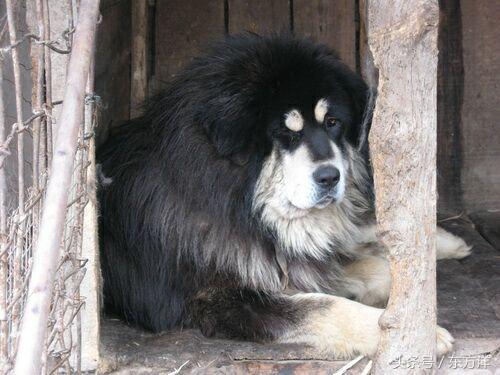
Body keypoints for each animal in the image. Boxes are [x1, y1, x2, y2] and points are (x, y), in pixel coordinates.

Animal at [98, 33, 472, 360]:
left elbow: (365, 267)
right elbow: (324, 304)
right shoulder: (218, 299)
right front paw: (418, 334)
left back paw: (445, 243)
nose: (330, 177)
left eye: (333, 122)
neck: (240, 208)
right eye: (285, 133)